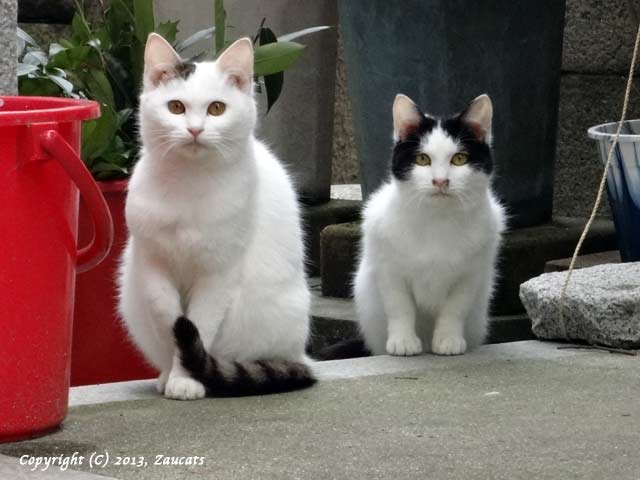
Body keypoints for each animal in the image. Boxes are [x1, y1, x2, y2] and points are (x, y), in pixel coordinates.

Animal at [117, 34, 316, 402]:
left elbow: (200, 324)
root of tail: (300, 354)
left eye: (217, 108)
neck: (189, 182)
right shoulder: (153, 265)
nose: (195, 130)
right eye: (176, 107)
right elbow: (170, 321)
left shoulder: (218, 274)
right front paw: (176, 371)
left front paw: (187, 379)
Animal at [352, 93, 502, 356]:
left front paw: (448, 340)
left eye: (459, 159)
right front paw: (403, 341)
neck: (437, 219)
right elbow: (400, 306)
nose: (440, 181)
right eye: (422, 159)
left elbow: (455, 308)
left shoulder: (471, 273)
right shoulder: (389, 269)